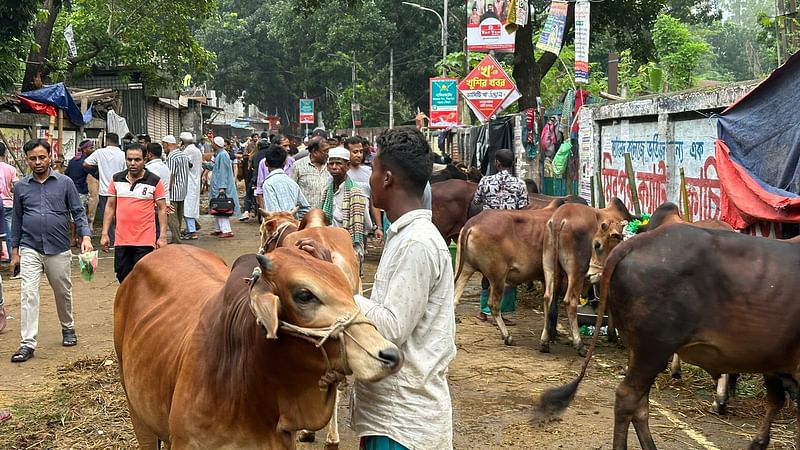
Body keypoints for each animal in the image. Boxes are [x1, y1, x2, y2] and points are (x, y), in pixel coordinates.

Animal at [454, 200, 564, 344]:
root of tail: (471, 224)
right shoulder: (557, 275)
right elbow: (553, 306)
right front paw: (552, 335)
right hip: (498, 276)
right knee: (493, 305)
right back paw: (507, 336)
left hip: (465, 269)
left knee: (454, 299)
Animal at [536, 224, 800, 450]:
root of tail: (636, 242)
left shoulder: (774, 363)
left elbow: (775, 401)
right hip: (653, 349)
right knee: (628, 398)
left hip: (639, 348)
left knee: (640, 404)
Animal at [540, 198, 636, 356]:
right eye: (596, 245)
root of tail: (559, 219)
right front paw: (612, 334)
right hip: (576, 271)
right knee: (570, 301)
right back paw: (579, 345)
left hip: (549, 266)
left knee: (548, 297)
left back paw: (544, 341)